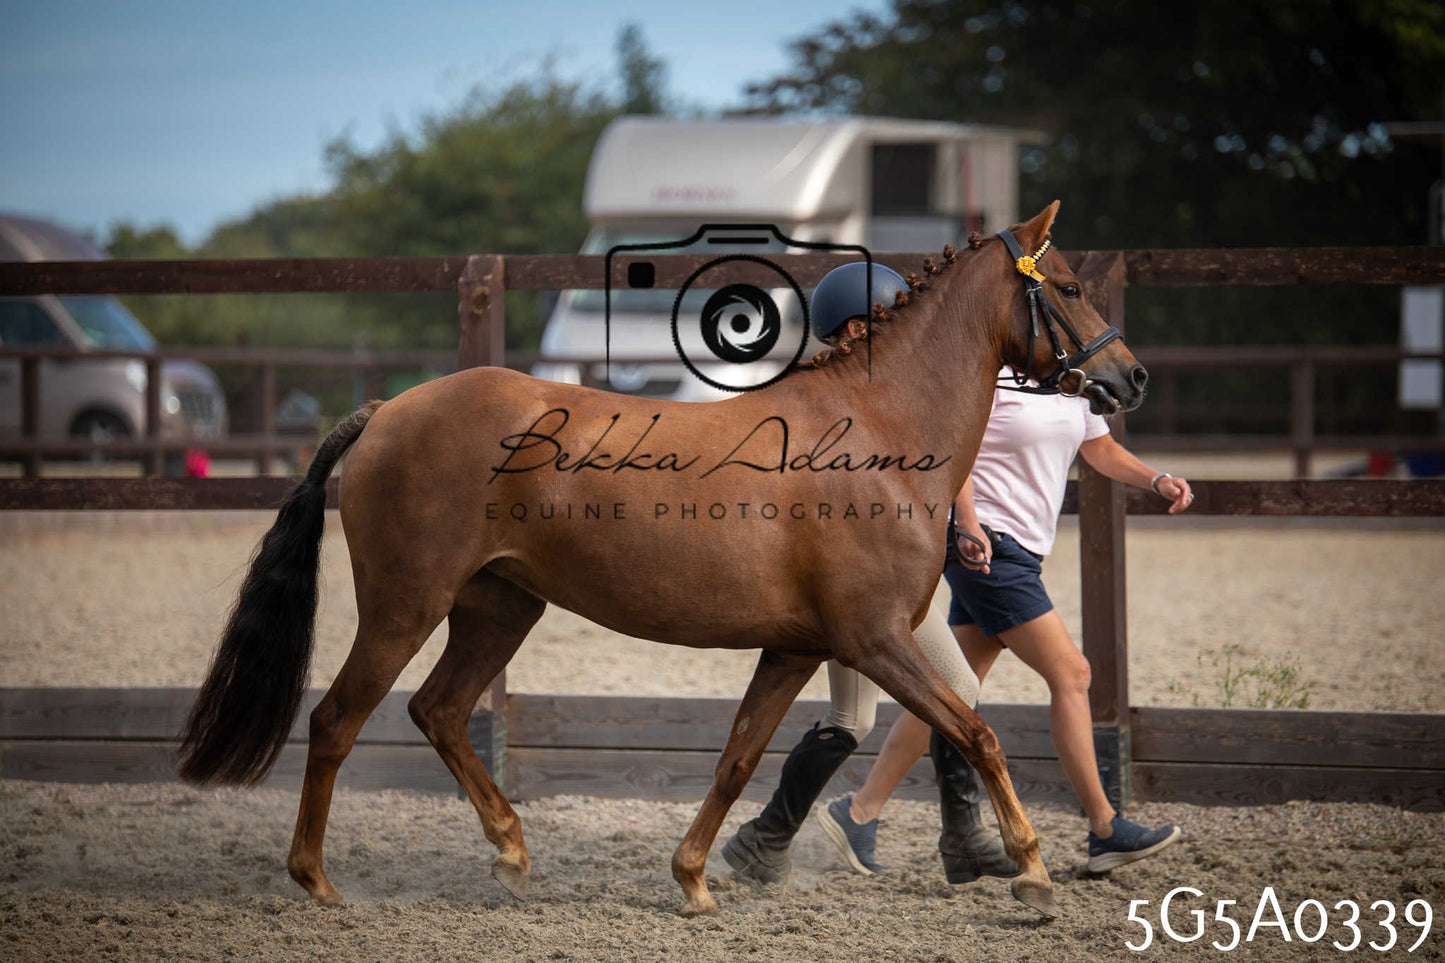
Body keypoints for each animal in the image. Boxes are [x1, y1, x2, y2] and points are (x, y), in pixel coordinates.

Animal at [176, 201, 1146, 921]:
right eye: (1066, 286)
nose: (1129, 378)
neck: (876, 433)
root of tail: (387, 410)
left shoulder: (796, 647)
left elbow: (740, 756)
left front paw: (694, 879)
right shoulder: (873, 640)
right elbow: (975, 732)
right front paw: (1032, 872)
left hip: (498, 605)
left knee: (439, 711)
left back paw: (511, 851)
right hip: (405, 604)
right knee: (338, 718)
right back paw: (316, 880)